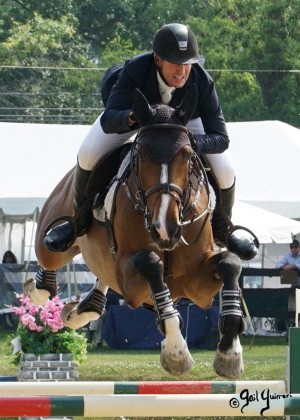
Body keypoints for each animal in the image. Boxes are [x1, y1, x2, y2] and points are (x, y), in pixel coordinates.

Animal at [27, 85, 244, 378]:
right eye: (140, 155)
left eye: (188, 156)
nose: (165, 228)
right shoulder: (131, 285)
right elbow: (149, 262)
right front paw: (176, 350)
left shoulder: (197, 286)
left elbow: (230, 262)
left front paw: (230, 352)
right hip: (55, 233)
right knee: (49, 257)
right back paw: (39, 286)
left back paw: (85, 308)